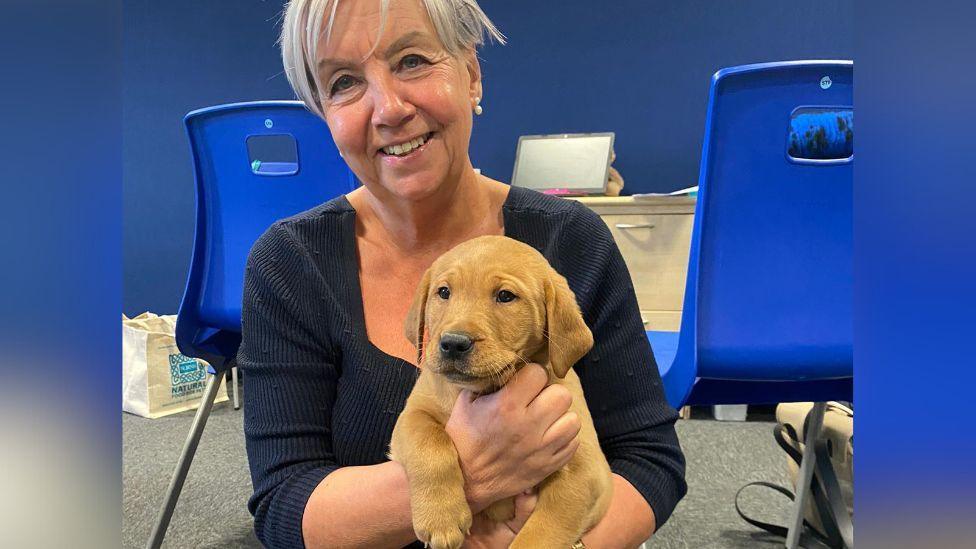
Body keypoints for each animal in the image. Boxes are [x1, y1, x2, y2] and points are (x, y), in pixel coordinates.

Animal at [388, 234, 608, 548]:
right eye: (443, 292)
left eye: (505, 296)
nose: (453, 343)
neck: (480, 390)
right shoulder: (413, 414)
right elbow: (429, 443)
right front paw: (441, 518)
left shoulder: (585, 471)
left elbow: (542, 534)